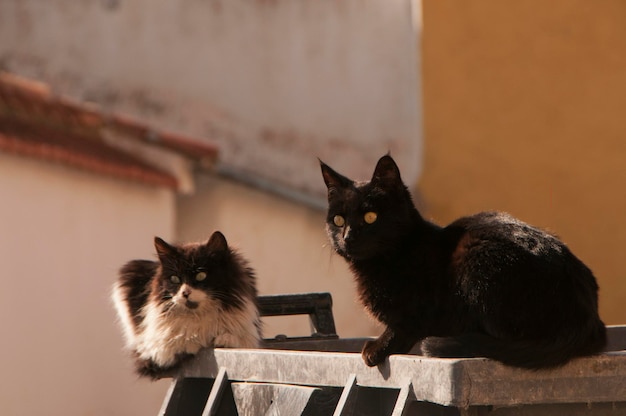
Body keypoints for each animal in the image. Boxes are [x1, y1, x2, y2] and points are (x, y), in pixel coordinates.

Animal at [111, 232, 260, 378]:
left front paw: (225, 339)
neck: (199, 315)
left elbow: (238, 339)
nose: (185, 293)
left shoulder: (251, 337)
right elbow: (177, 340)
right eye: (175, 279)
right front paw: (191, 340)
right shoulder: (152, 353)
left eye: (201, 275)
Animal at [320, 155, 604, 368]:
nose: (348, 237)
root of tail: (586, 317)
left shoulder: (423, 312)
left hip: (475, 255)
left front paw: (376, 347)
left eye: (370, 216)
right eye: (338, 220)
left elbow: (403, 325)